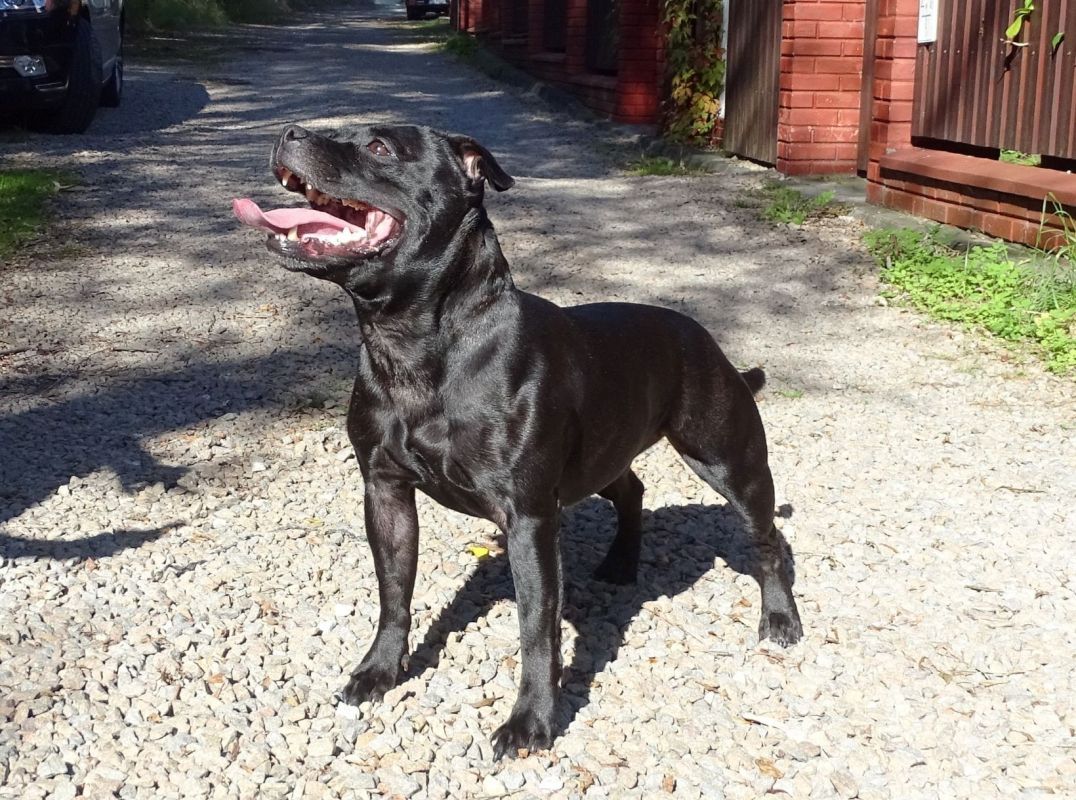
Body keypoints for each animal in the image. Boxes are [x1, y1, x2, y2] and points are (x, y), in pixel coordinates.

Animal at [233, 124, 803, 758]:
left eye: (381, 148)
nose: (289, 132)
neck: (414, 344)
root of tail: (701, 334)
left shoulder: (528, 517)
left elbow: (536, 624)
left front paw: (531, 721)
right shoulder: (385, 492)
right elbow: (394, 591)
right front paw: (380, 670)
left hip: (730, 460)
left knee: (767, 538)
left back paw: (780, 619)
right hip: (603, 459)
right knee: (632, 490)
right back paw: (621, 563)